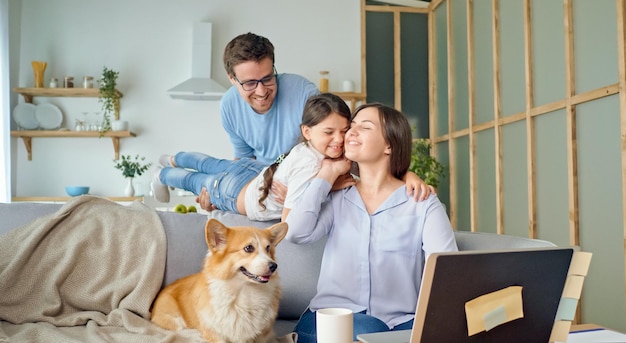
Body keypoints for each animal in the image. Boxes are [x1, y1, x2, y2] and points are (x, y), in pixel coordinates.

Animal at [151, 219, 288, 342]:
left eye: (268, 248)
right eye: (249, 248)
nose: (274, 266)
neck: (245, 292)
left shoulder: (262, 335)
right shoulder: (215, 333)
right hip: (176, 321)